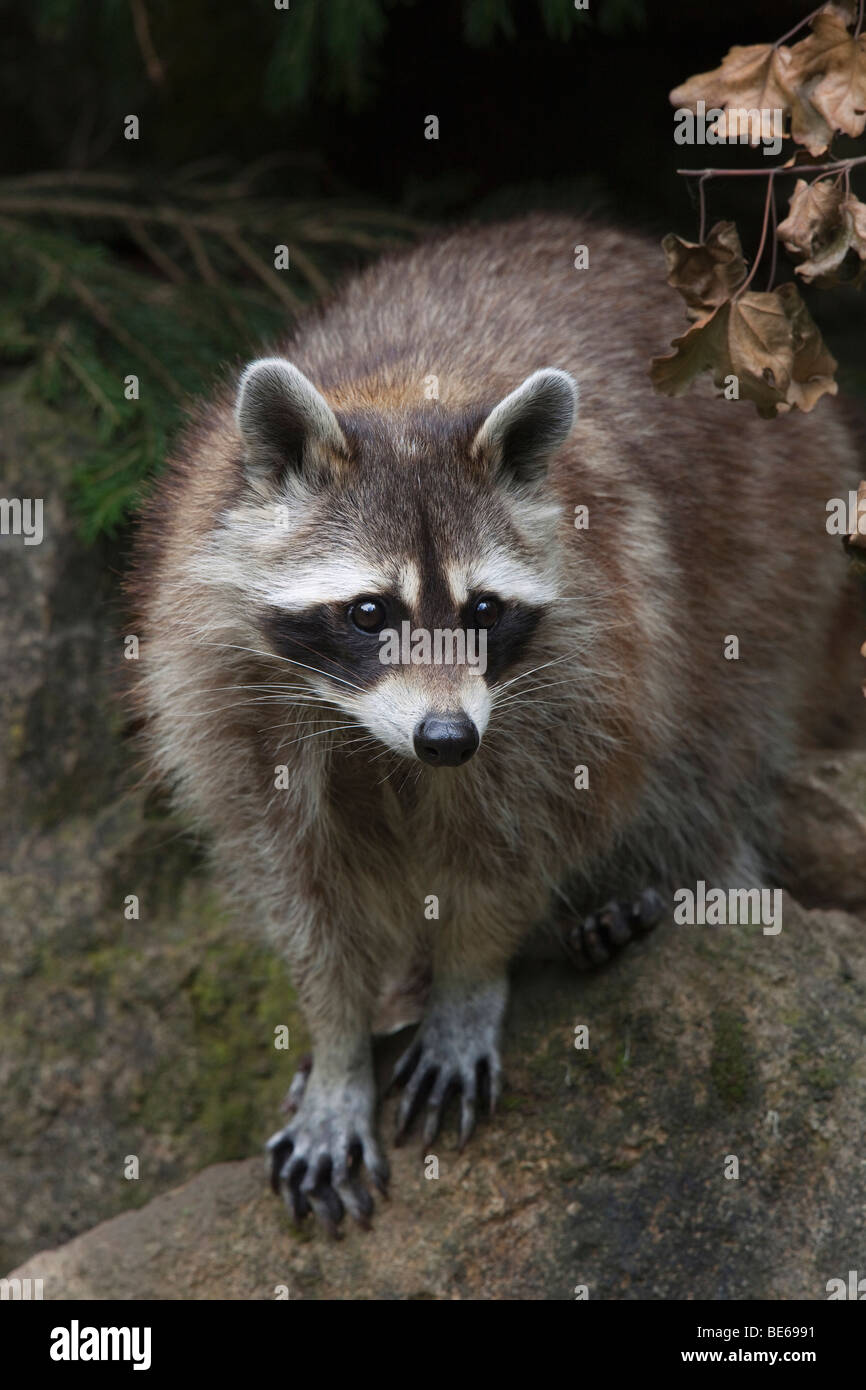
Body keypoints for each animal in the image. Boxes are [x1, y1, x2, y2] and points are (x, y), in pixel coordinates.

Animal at [130, 211, 866, 1234]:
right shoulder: (221, 685)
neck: (401, 392)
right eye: (370, 613)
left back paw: (669, 881)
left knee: (713, 745)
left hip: (777, 558)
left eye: (481, 611)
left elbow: (528, 835)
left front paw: (471, 980)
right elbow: (298, 887)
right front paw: (340, 1040)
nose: (448, 741)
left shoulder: (586, 658)